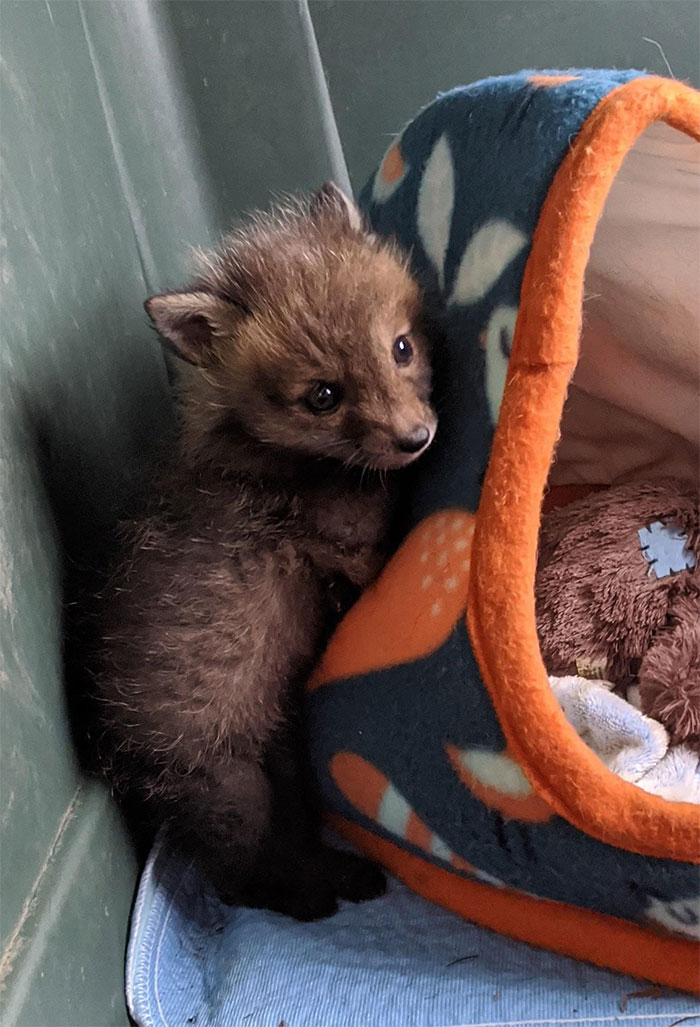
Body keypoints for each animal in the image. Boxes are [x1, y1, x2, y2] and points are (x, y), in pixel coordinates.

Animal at [85, 184, 435, 924]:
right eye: (322, 396)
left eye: (401, 347)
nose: (416, 437)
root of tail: (115, 755)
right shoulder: (352, 546)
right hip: (234, 788)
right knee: (240, 878)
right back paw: (314, 895)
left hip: (287, 765)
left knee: (292, 840)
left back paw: (339, 873)